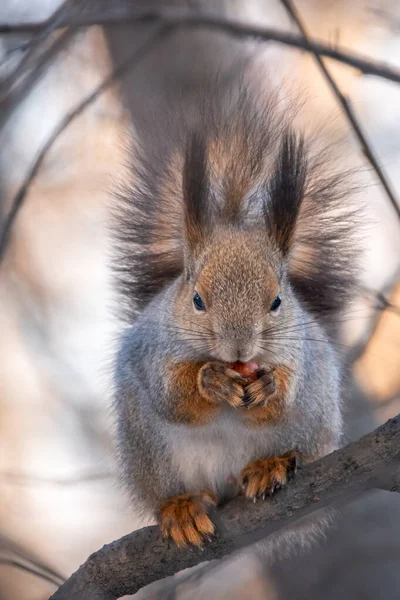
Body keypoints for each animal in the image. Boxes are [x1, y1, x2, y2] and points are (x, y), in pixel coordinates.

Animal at [111, 76, 360, 548]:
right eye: (196, 300)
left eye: (278, 301)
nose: (239, 350)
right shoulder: (152, 352)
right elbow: (175, 398)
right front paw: (210, 380)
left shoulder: (299, 353)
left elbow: (282, 398)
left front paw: (269, 386)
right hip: (150, 453)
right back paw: (181, 508)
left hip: (314, 423)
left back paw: (271, 465)